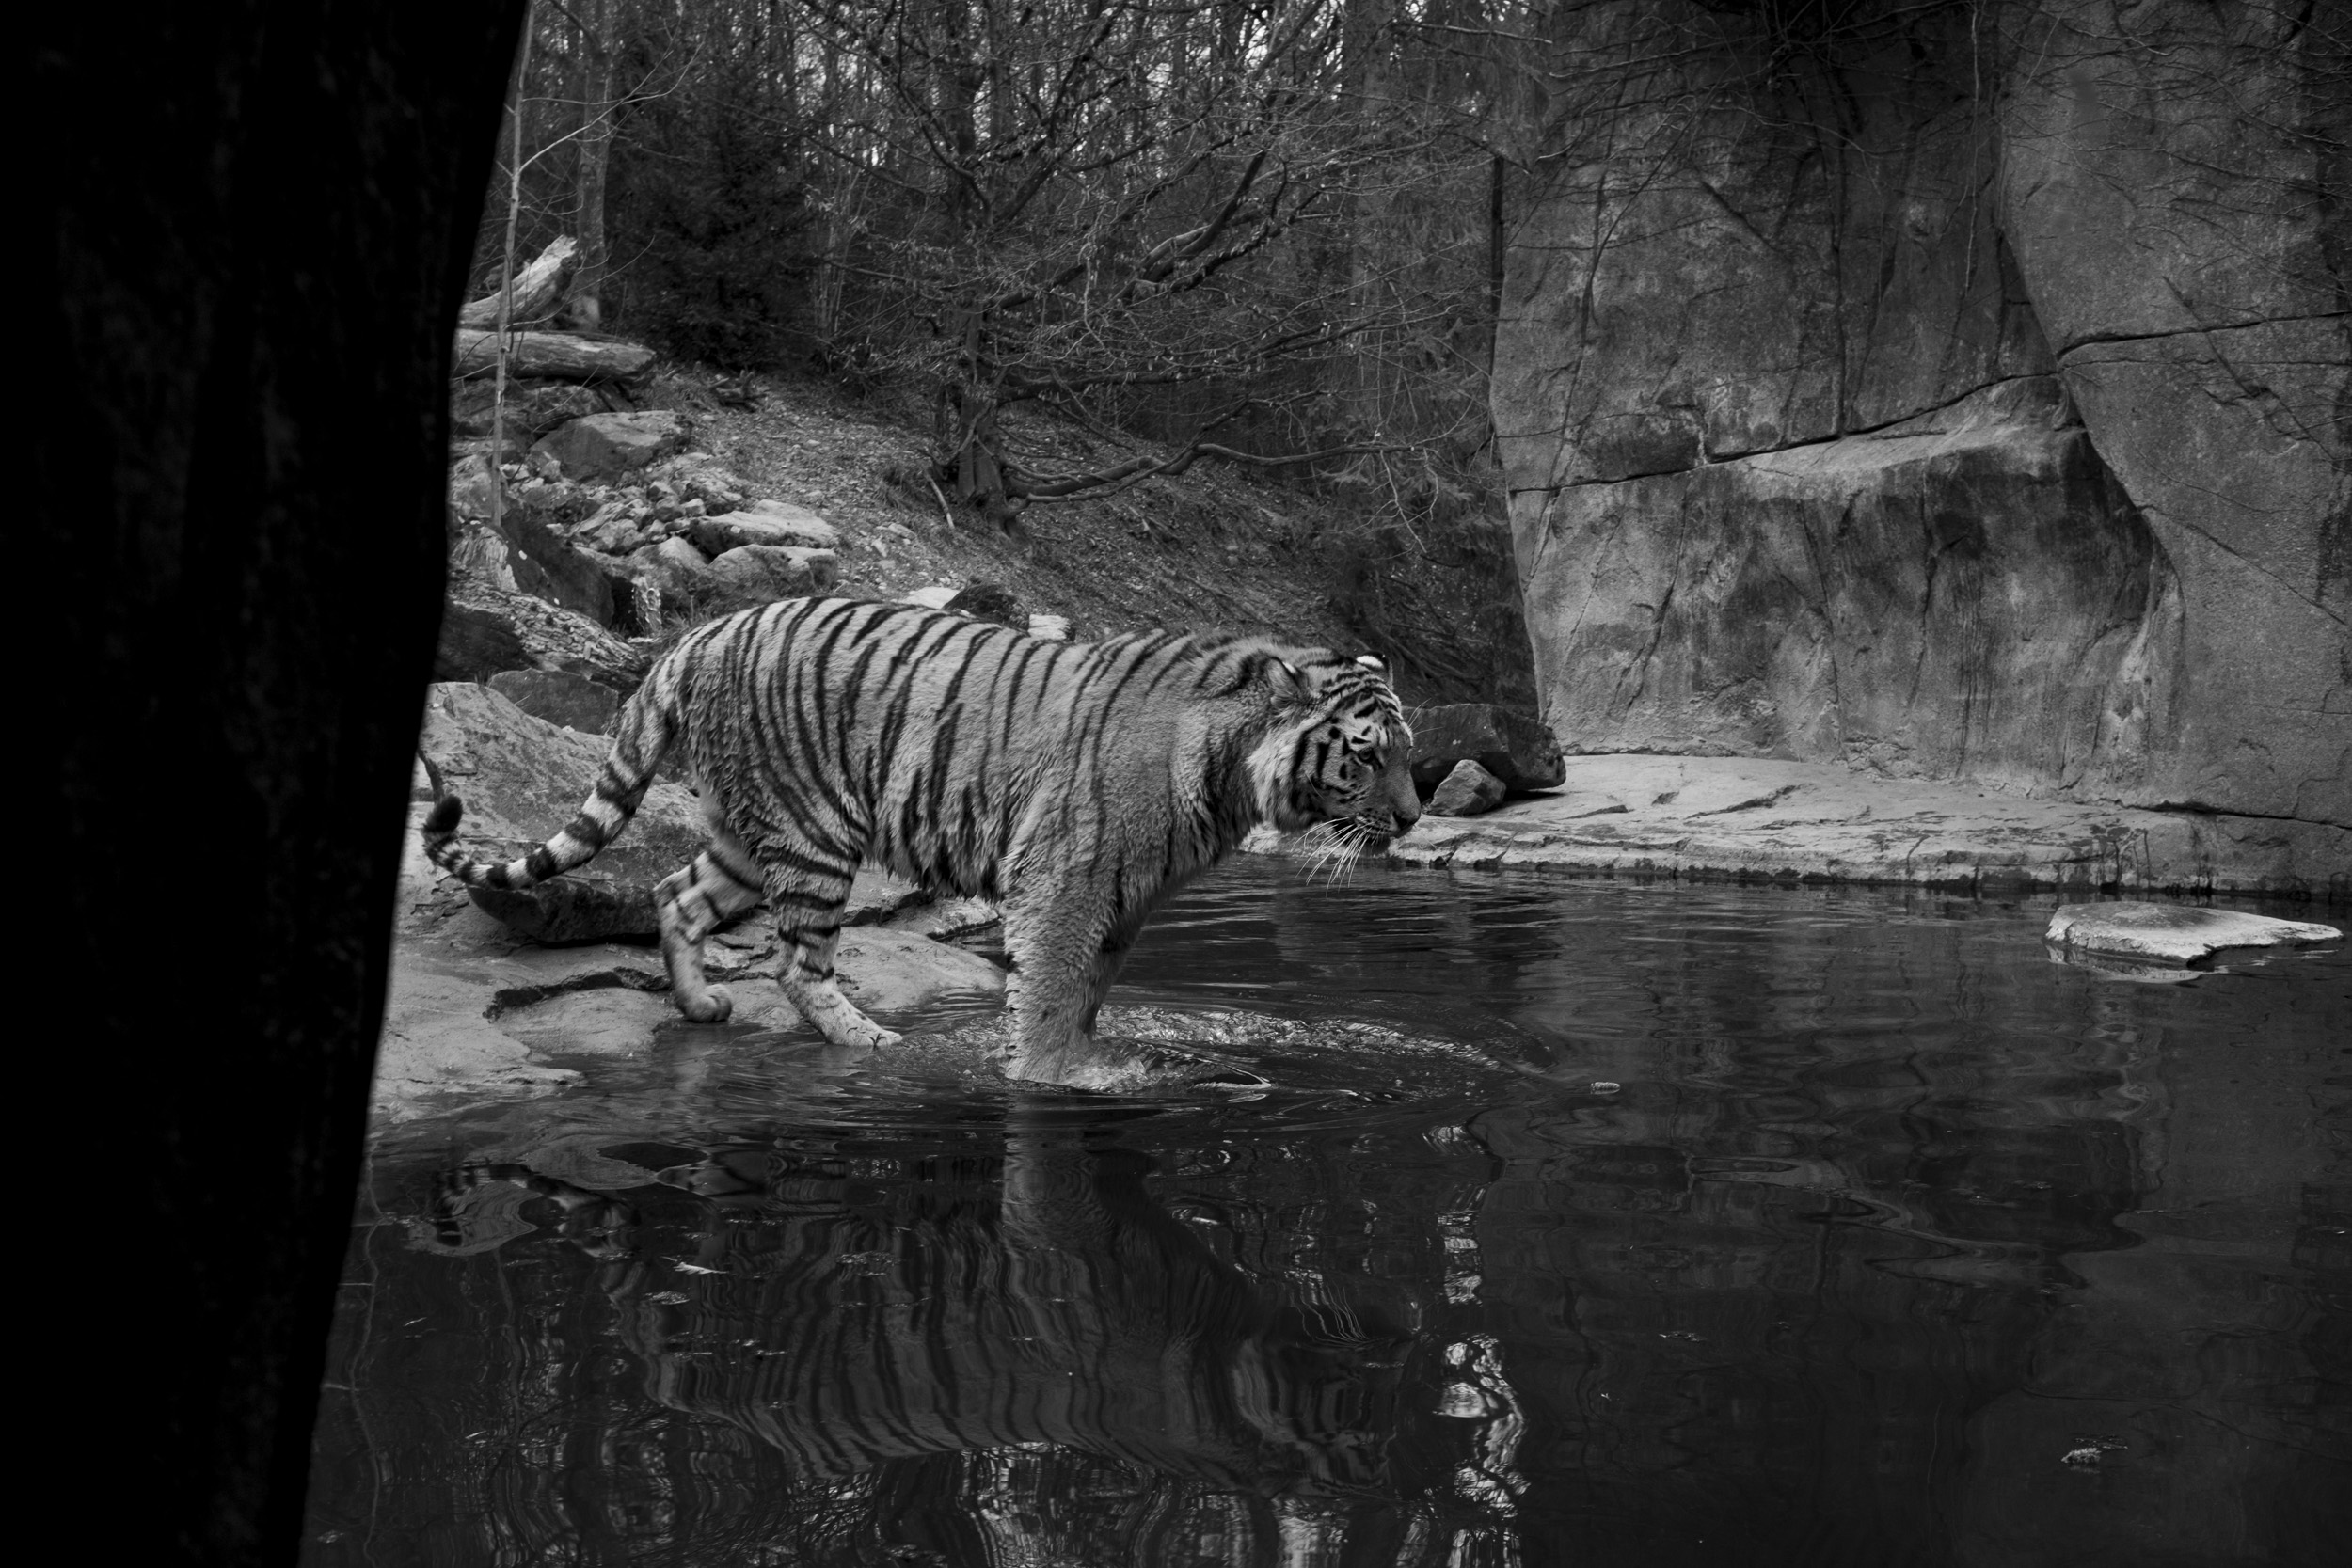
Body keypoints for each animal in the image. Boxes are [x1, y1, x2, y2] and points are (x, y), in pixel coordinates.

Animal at [423, 596, 1420, 1090]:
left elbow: (1088, 997)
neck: (1228, 774)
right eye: (1369, 756)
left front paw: (1088, 1061)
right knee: (797, 963)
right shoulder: (1066, 880)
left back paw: (702, 1005)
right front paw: (1051, 1078)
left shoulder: (1126, 899)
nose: (1413, 817)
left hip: (748, 828)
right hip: (815, 830)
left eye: (1412, 755)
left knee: (677, 895)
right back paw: (870, 1041)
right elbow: (1051, 995)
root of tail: (694, 635)